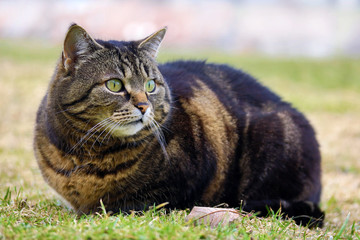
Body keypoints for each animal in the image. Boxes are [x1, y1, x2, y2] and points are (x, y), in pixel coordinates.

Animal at [33, 23, 324, 227]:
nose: (144, 106)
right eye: (114, 85)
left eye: (150, 85)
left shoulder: (184, 182)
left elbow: (134, 203)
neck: (83, 153)